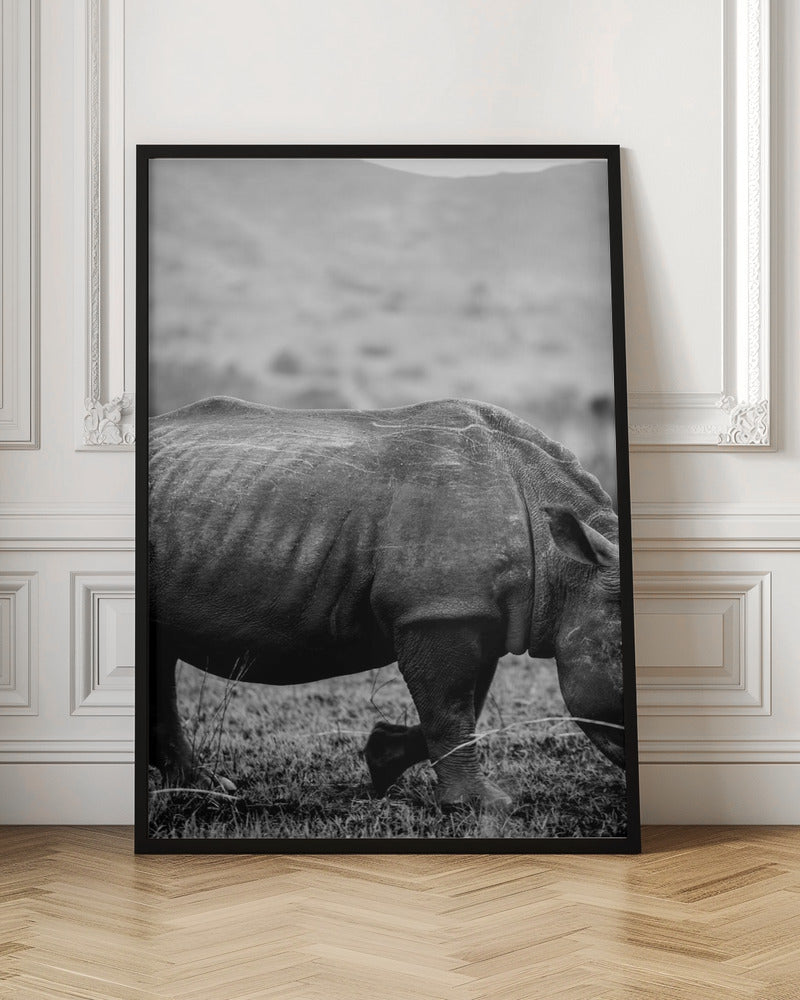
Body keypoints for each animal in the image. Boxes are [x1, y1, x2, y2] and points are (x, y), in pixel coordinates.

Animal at [148, 396, 625, 809]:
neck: (566, 567)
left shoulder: (473, 610)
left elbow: (468, 701)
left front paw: (383, 758)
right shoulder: (437, 610)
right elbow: (450, 706)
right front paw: (481, 805)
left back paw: (202, 785)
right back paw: (206, 787)